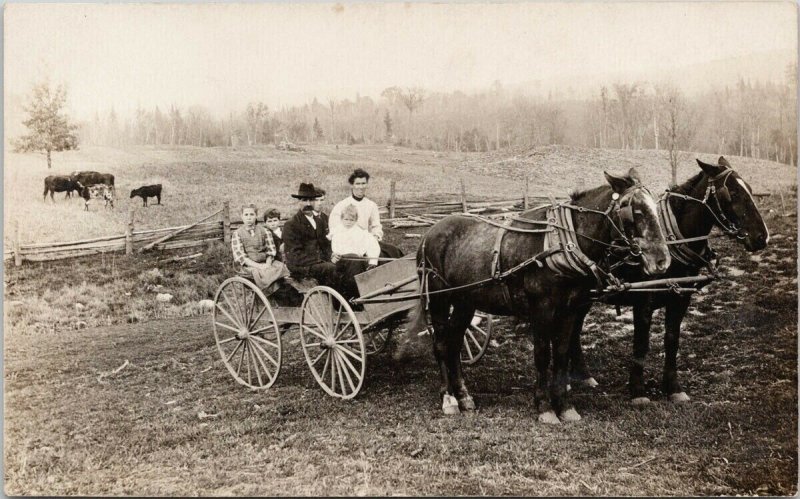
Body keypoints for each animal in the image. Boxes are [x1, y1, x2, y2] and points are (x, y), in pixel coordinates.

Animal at [410, 170, 672, 424]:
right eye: (635, 210)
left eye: (655, 208)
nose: (662, 260)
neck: (562, 244)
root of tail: (429, 233)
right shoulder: (542, 309)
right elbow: (543, 355)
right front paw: (544, 407)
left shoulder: (570, 309)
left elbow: (562, 354)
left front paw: (565, 406)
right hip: (439, 299)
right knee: (441, 344)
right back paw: (449, 398)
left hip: (465, 301)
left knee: (454, 342)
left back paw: (464, 396)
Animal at [568, 158, 768, 404]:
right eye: (732, 193)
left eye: (749, 189)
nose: (762, 237)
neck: (672, 244)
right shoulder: (643, 302)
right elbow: (641, 344)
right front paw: (638, 391)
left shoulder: (680, 299)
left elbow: (672, 340)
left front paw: (673, 387)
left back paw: (582, 375)